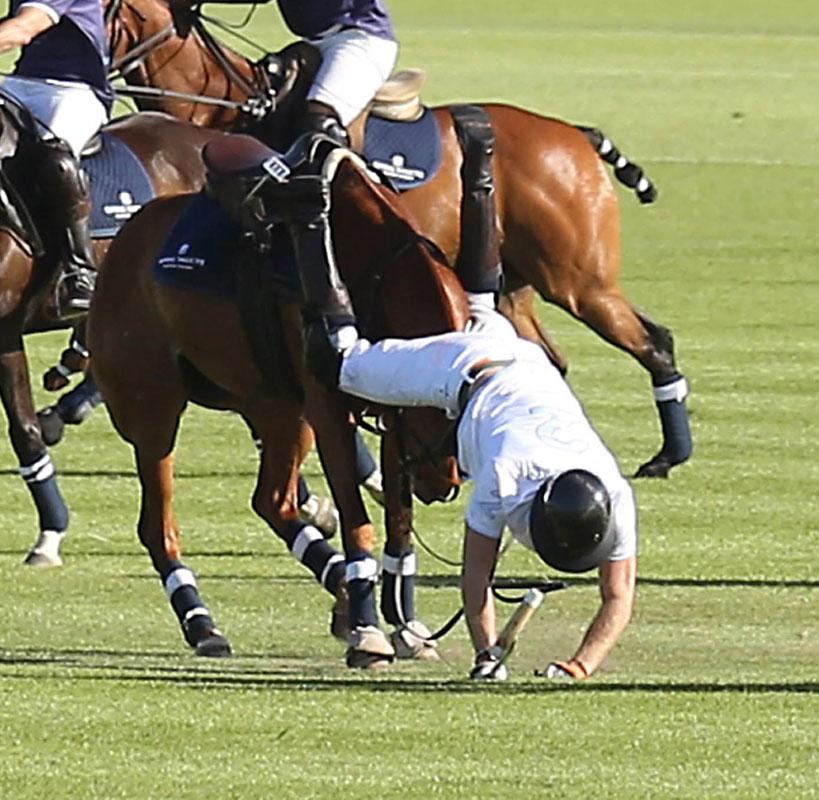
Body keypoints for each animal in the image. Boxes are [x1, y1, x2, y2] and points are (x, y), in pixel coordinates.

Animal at [87, 138, 470, 664]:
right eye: (439, 405)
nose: (443, 483)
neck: (371, 262)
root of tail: (120, 242)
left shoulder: (387, 411)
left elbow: (399, 525)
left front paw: (404, 623)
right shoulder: (331, 410)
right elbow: (360, 523)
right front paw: (369, 631)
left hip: (277, 407)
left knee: (272, 501)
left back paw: (340, 590)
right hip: (153, 411)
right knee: (158, 524)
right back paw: (202, 622)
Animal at [102, 0, 692, 478]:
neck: (231, 111)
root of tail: (576, 135)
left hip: (579, 280)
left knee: (654, 341)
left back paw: (667, 456)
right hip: (515, 285)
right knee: (550, 357)